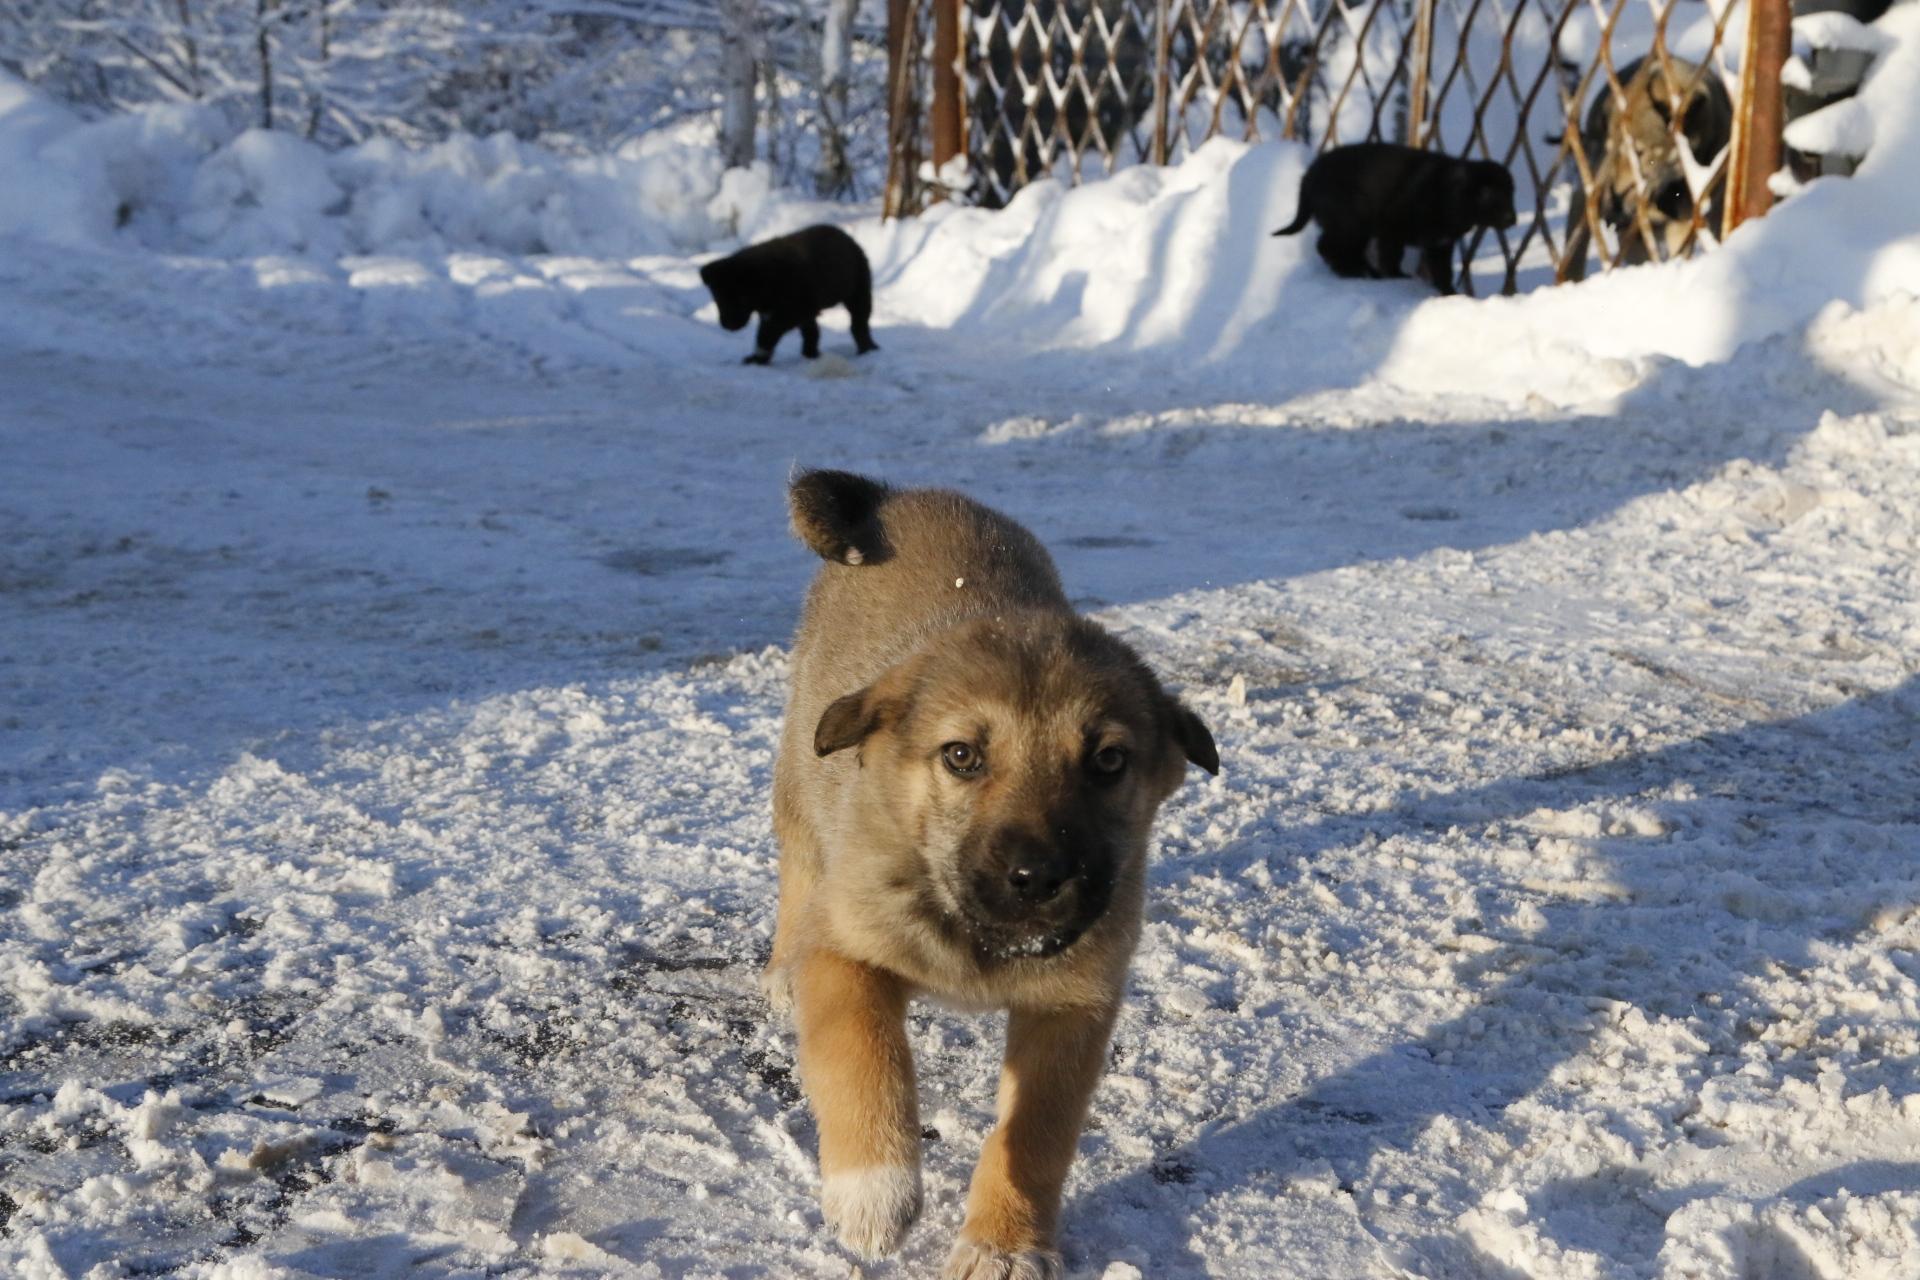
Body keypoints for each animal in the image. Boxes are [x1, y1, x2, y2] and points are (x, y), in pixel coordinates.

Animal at [698, 224, 879, 364]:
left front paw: (759, 357)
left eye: (741, 299)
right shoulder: (793, 309)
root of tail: (850, 240)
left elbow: (768, 332)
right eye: (718, 298)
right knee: (813, 330)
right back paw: (810, 353)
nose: (727, 326)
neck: (764, 280)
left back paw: (866, 349)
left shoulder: (790, 310)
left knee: (859, 322)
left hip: (858, 290)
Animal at [764, 470, 1213, 1280]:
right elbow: (862, 1054)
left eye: (1108, 761)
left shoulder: (1073, 1008)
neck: (977, 938)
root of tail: (897, 496)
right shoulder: (847, 953)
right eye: (962, 756)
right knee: (798, 872)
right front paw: (873, 1191)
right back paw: (782, 970)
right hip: (801, 782)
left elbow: (1032, 1136)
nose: (1037, 877)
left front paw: (1004, 1244)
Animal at [1267, 143, 1520, 297]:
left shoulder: (1441, 244)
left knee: (1345, 250)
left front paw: (1449, 294)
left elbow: (1442, 272)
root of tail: (1309, 175)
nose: (1512, 219)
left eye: (1511, 193)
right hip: (1350, 222)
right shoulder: (1392, 228)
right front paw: (1397, 278)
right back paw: (1350, 272)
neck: (1446, 193)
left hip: (1357, 228)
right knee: (1326, 246)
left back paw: (1365, 272)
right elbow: (1392, 258)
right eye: (1487, 194)